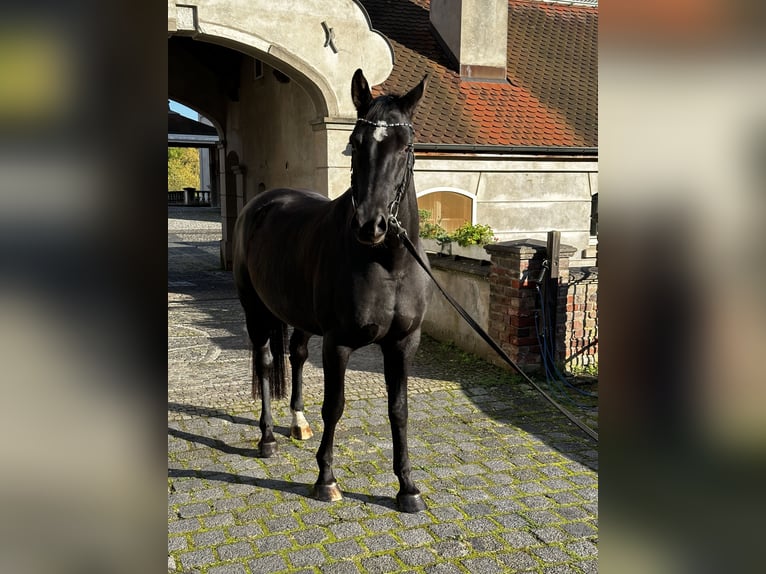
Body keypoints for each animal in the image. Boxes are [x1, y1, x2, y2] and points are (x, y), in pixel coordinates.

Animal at [231, 70, 432, 516]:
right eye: (355, 143)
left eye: (406, 146)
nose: (370, 225)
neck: (388, 263)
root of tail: (261, 203)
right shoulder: (338, 344)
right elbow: (335, 407)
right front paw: (326, 479)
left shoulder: (404, 343)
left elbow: (400, 410)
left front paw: (407, 487)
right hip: (255, 310)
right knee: (266, 361)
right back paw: (267, 438)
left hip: (298, 316)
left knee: (296, 355)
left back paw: (297, 423)